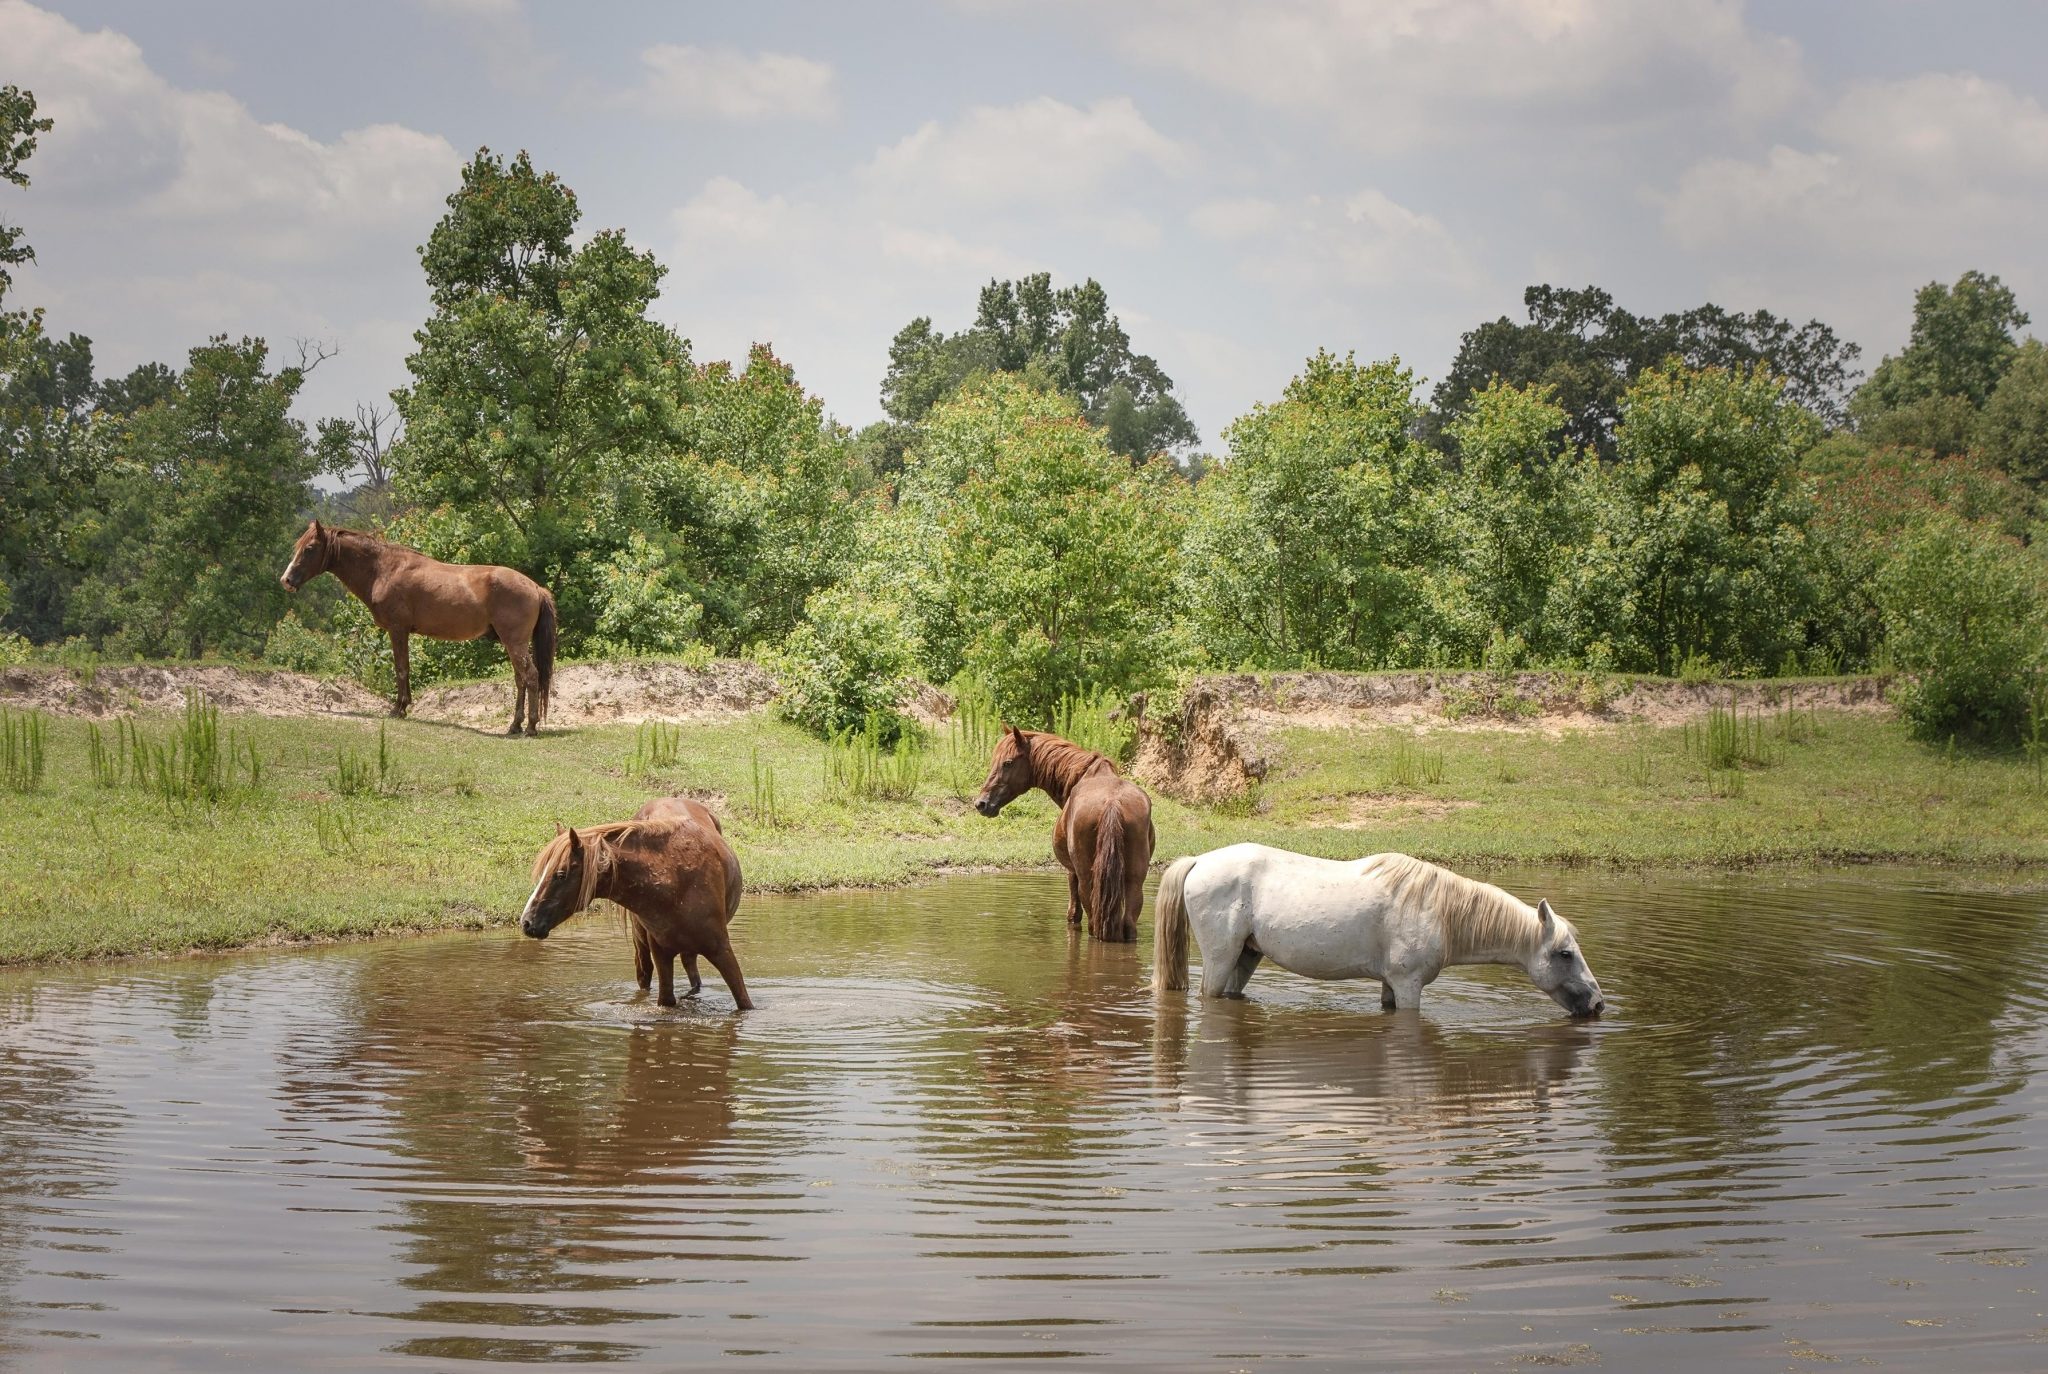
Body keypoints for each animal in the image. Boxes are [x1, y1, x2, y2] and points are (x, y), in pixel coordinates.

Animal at [279, 519, 556, 735]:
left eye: (310, 549)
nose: (286, 580)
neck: (383, 569)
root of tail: (535, 587)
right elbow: (406, 668)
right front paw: (404, 706)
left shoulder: (397, 630)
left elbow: (401, 669)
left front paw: (397, 708)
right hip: (513, 645)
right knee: (521, 680)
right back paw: (515, 725)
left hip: (515, 643)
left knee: (531, 677)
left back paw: (530, 727)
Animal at [517, 801, 752, 1010]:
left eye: (560, 874)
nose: (526, 922)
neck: (675, 883)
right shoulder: (662, 955)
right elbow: (666, 1000)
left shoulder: (722, 951)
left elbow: (743, 1002)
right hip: (643, 946)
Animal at [974, 725, 1155, 942]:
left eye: (1007, 763)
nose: (981, 803)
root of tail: (1113, 802)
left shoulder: (1072, 872)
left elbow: (1073, 914)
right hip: (1134, 882)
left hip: (1087, 880)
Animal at [1153, 843, 1605, 1018]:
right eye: (1565, 953)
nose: (1599, 1005)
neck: (1439, 910)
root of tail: (1200, 861)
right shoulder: (1408, 985)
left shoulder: (1391, 984)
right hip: (1221, 959)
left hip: (1247, 956)